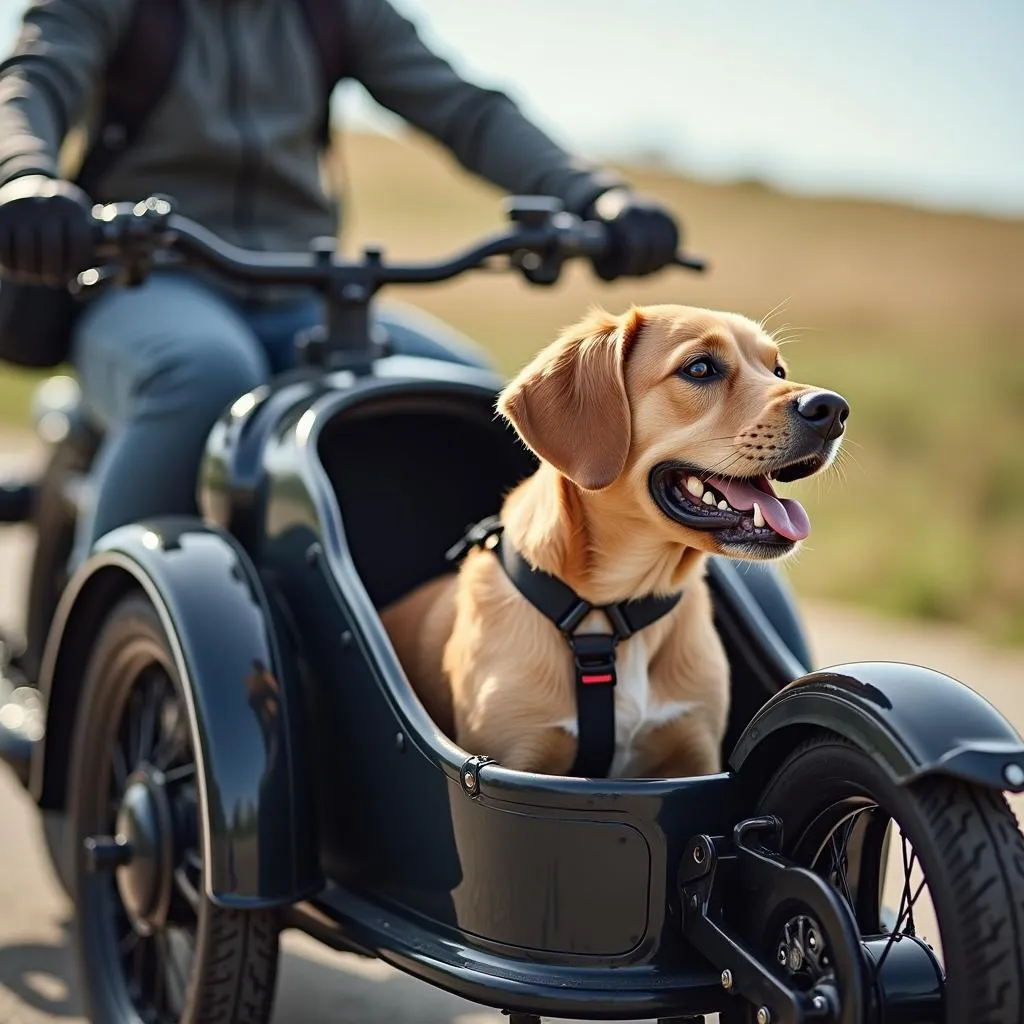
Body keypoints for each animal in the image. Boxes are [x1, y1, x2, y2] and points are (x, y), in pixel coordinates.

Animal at [382, 307, 847, 778]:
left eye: (778, 370)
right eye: (699, 369)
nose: (832, 409)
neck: (612, 612)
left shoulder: (692, 757)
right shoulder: (516, 753)